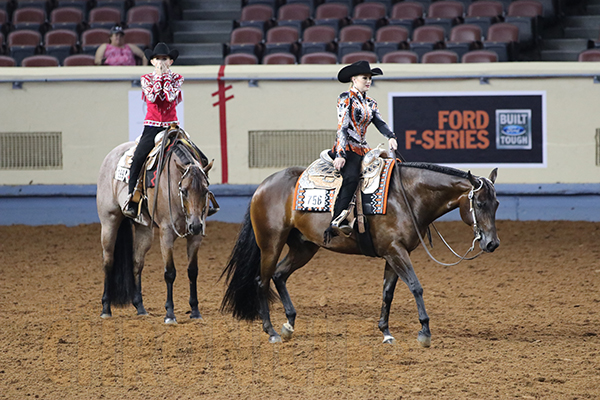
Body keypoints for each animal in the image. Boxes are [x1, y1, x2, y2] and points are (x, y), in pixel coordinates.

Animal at [97, 125, 214, 324]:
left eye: (205, 190)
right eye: (184, 190)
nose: (196, 225)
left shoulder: (195, 236)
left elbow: (192, 271)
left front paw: (195, 311)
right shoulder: (166, 233)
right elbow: (170, 272)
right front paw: (170, 314)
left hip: (144, 229)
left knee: (137, 263)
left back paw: (140, 307)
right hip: (109, 221)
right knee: (108, 261)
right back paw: (106, 308)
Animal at [221, 160, 499, 346]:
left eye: (496, 204)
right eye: (480, 203)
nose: (492, 244)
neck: (406, 196)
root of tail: (262, 186)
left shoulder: (392, 254)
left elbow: (388, 293)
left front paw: (386, 332)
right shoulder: (396, 251)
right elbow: (415, 286)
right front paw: (425, 332)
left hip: (304, 247)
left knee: (279, 275)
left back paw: (289, 323)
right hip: (271, 243)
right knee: (262, 280)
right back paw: (271, 332)